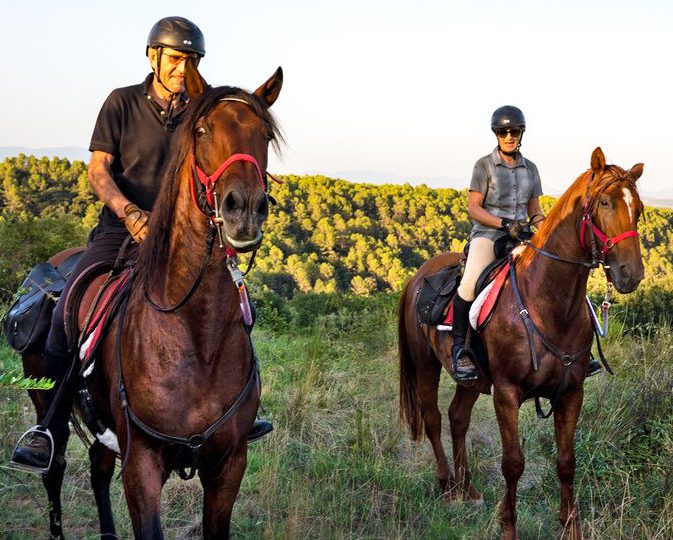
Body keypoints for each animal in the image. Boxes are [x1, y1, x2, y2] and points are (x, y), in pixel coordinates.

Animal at [398, 148, 644, 539]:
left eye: (639, 207)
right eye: (605, 202)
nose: (630, 274)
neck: (546, 303)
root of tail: (418, 277)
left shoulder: (571, 392)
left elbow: (566, 461)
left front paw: (570, 527)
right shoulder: (507, 393)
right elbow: (513, 463)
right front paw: (508, 527)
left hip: (471, 379)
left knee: (457, 418)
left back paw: (468, 489)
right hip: (425, 365)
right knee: (433, 418)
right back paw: (448, 487)